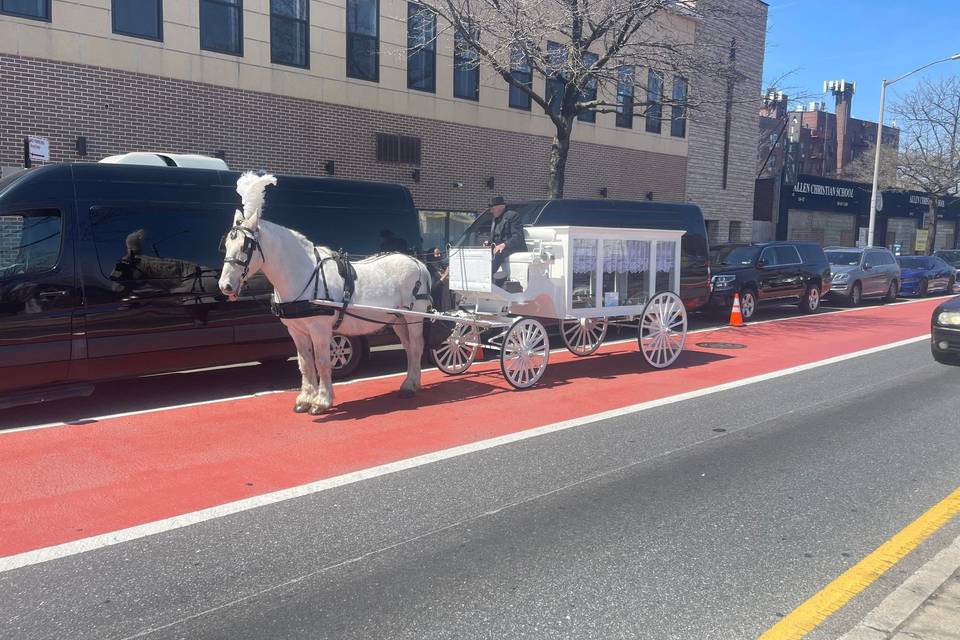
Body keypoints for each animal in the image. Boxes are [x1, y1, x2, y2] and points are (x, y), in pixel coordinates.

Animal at [218, 172, 432, 412]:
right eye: (226, 244)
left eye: (246, 246)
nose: (225, 285)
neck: (303, 274)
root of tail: (417, 262)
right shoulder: (296, 330)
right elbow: (305, 363)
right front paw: (304, 399)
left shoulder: (320, 329)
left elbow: (321, 362)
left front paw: (322, 400)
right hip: (397, 319)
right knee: (408, 347)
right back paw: (411, 383)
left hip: (414, 317)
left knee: (416, 346)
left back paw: (410, 386)